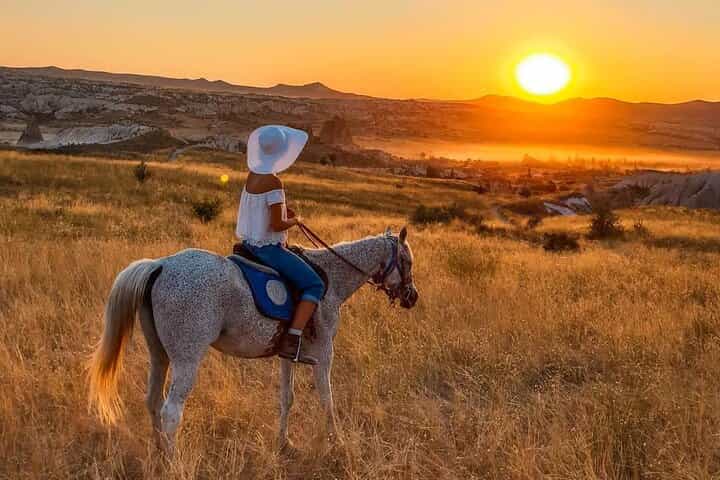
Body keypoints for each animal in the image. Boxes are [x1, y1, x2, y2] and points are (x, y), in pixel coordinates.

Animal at [88, 227, 418, 456]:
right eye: (407, 261)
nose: (412, 297)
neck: (332, 279)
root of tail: (160, 265)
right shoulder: (325, 353)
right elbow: (328, 400)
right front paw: (336, 442)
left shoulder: (288, 354)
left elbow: (287, 398)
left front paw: (285, 444)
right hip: (187, 359)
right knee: (172, 411)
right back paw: (173, 462)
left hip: (159, 354)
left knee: (153, 401)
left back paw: (159, 452)